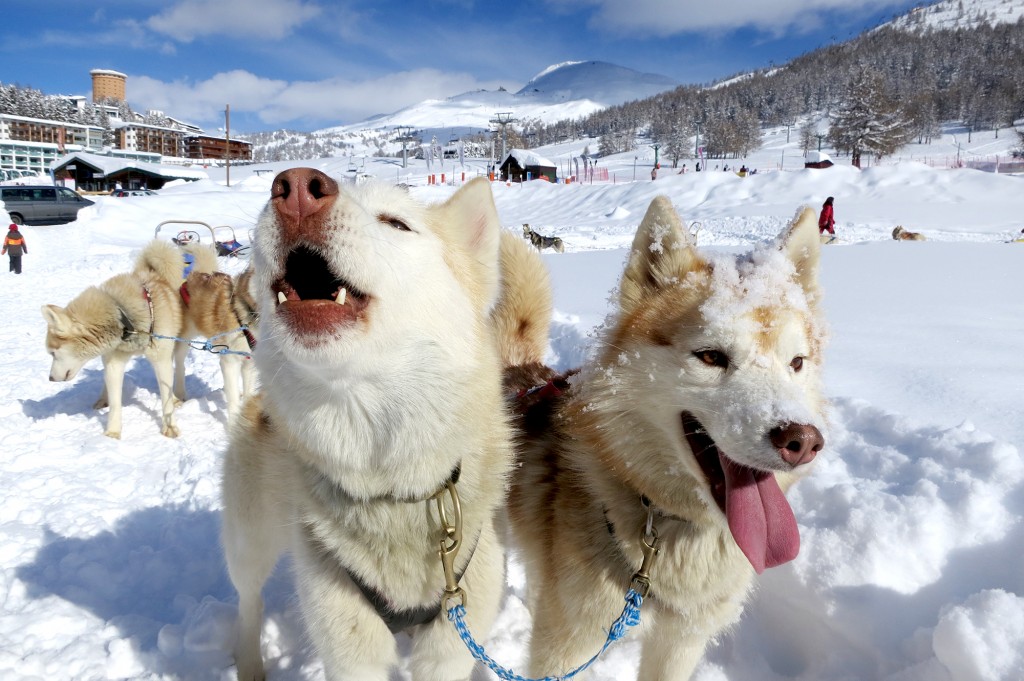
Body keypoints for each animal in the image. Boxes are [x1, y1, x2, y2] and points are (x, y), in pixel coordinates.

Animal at [41, 241, 218, 438]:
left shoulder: (161, 360)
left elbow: (165, 396)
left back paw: (177, 395)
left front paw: (169, 426)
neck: (123, 315)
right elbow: (115, 401)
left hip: (178, 344)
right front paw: (112, 432)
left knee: (179, 368)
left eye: (52, 353)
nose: (50, 378)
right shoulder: (114, 363)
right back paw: (103, 399)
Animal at [218, 171, 552, 679]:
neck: (393, 486)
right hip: (248, 542)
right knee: (248, 600)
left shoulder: (451, 639)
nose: (296, 188)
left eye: (396, 222)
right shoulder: (349, 644)